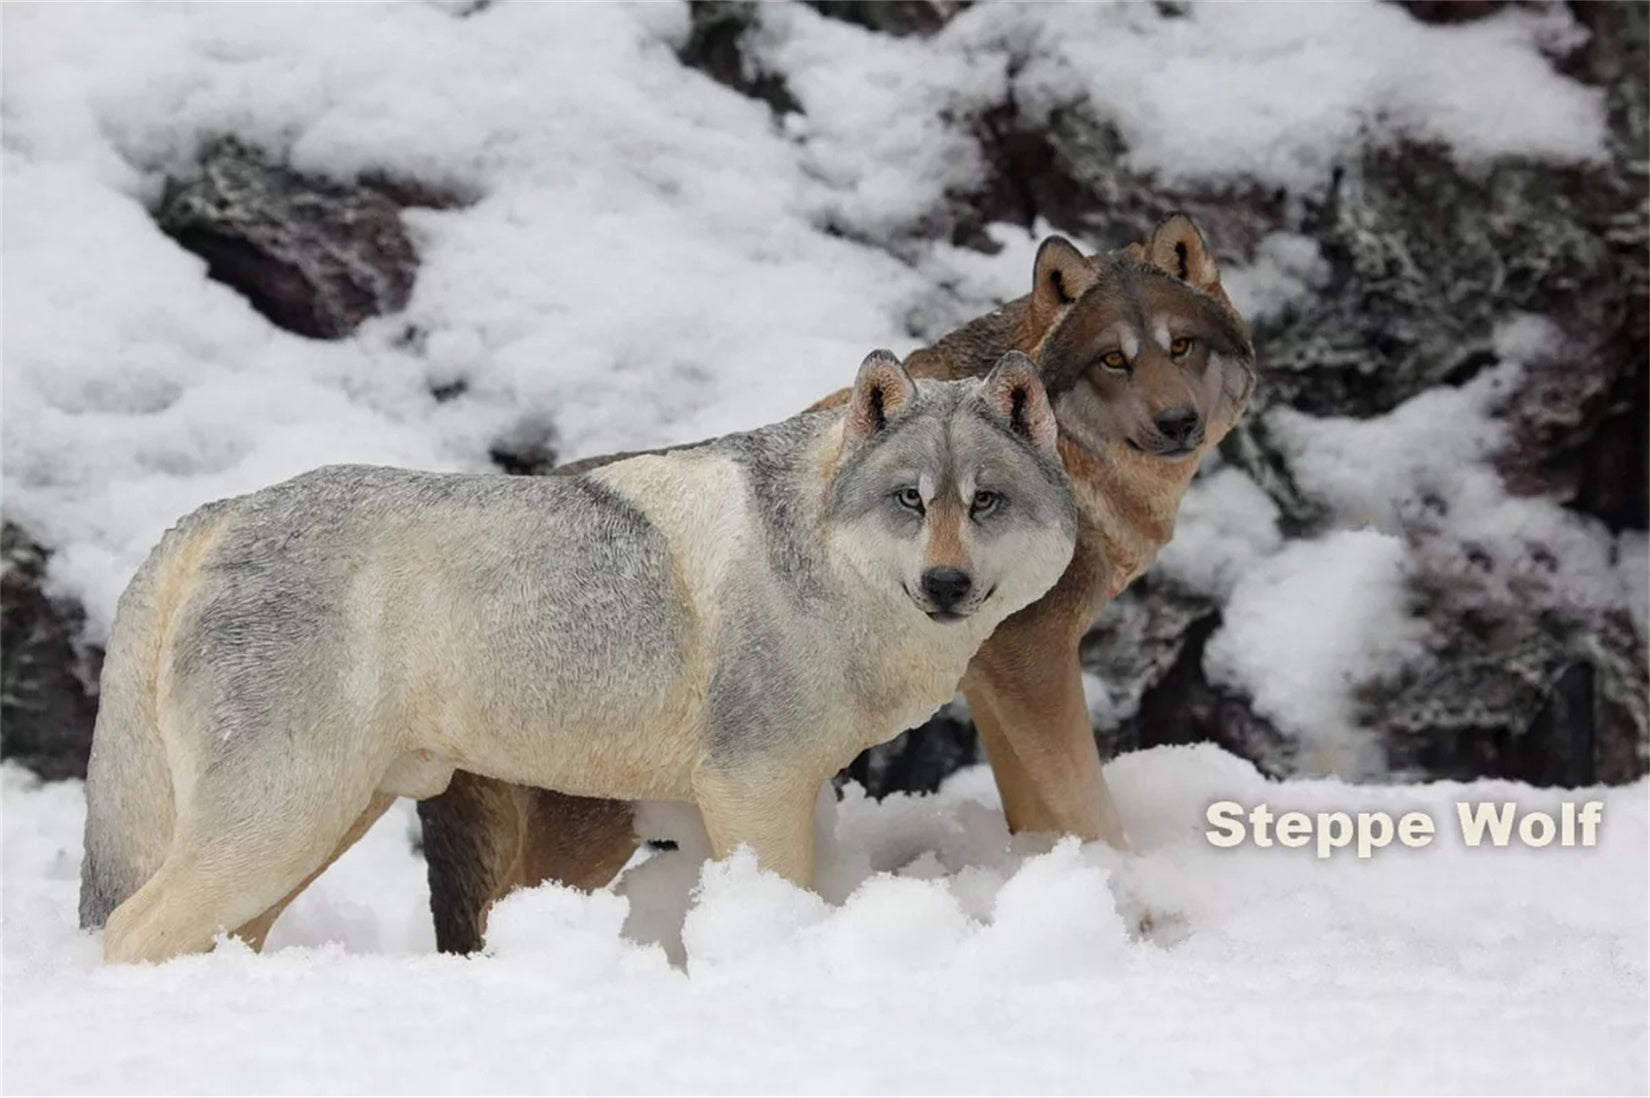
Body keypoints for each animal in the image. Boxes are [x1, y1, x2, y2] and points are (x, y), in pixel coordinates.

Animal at [79, 350, 1078, 964]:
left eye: (984, 502)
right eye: (910, 500)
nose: (945, 583)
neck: (818, 561)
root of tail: (221, 513)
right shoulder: (755, 787)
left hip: (316, 832)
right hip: (282, 825)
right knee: (126, 931)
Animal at [415, 213, 1257, 954]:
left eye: (1181, 346)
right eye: (1115, 360)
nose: (1178, 422)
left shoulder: (994, 683)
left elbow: (1037, 809)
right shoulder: (1031, 663)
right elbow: (1085, 799)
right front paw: (1136, 913)